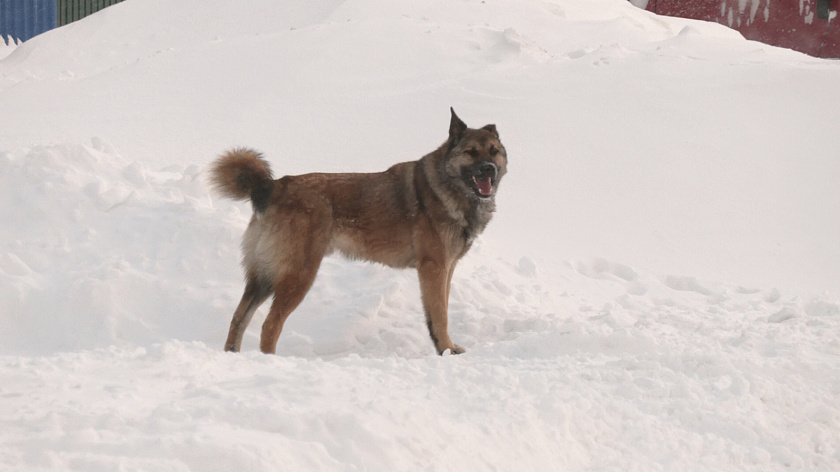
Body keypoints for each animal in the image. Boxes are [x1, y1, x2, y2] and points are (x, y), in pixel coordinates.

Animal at [213, 109, 508, 354]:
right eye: (471, 152)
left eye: (494, 151)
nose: (489, 169)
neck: (449, 185)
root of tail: (273, 186)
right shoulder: (434, 267)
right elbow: (440, 316)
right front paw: (446, 350)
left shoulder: (447, 268)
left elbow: (440, 311)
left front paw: (445, 348)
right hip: (298, 274)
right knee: (270, 326)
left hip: (264, 275)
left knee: (239, 318)